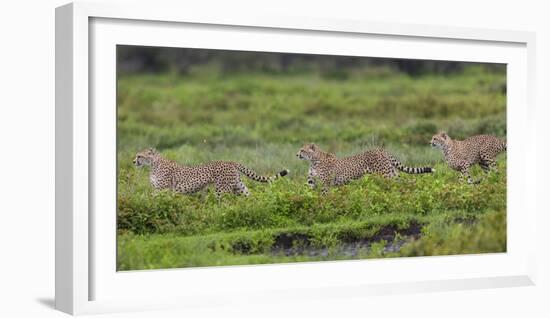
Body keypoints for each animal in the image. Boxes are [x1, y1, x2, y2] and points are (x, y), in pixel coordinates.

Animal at [135, 148, 288, 198]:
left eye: (139, 156)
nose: (133, 161)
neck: (153, 164)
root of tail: (230, 161)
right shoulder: (162, 190)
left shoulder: (163, 189)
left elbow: (154, 198)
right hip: (239, 186)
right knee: (250, 197)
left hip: (222, 189)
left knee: (226, 203)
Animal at [298, 144, 436, 194]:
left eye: (302, 150)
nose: (296, 154)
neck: (313, 160)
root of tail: (381, 149)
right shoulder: (311, 181)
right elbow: (310, 189)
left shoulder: (326, 182)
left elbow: (324, 194)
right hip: (392, 173)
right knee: (404, 182)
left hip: (385, 175)